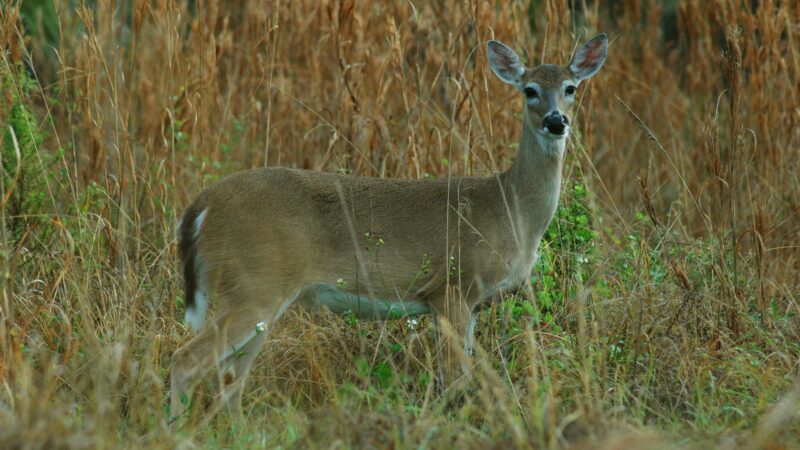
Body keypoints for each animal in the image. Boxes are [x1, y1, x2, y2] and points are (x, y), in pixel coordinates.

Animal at [169, 33, 608, 420]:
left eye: (570, 88)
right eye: (529, 90)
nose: (556, 121)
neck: (510, 208)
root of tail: (200, 207)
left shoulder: (472, 302)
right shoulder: (452, 286)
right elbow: (455, 380)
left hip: (259, 296)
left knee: (231, 383)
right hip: (253, 285)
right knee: (186, 361)